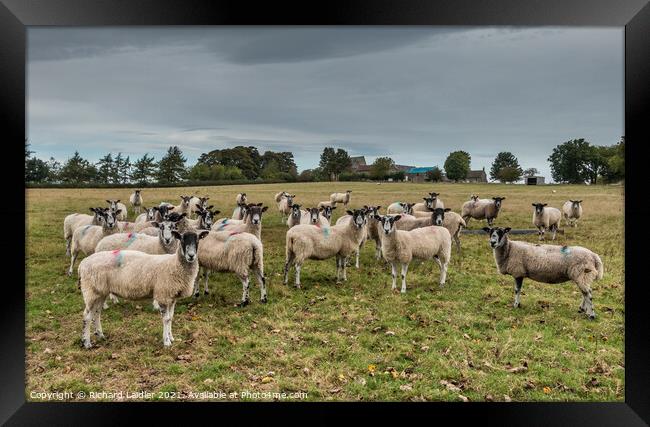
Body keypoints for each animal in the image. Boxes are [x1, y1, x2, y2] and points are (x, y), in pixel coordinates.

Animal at [78, 231, 210, 348]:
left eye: (198, 240)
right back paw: (86, 342)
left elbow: (171, 317)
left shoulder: (172, 297)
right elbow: (166, 319)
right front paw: (166, 342)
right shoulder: (163, 294)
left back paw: (100, 335)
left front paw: (171, 337)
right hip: (91, 291)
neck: (174, 264)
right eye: (182, 240)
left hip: (100, 292)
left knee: (97, 313)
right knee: (87, 316)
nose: (191, 256)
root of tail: (82, 264)